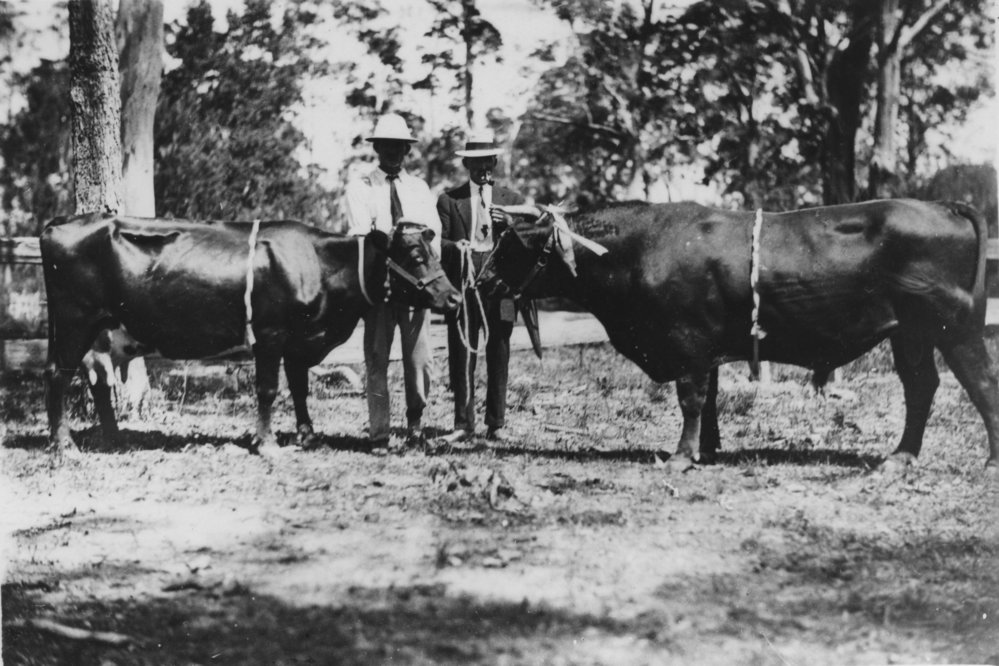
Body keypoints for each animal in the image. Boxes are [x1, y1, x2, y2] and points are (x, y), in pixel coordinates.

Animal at [40, 214, 461, 458]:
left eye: (435, 251)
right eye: (415, 255)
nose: (455, 297)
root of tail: (58, 225)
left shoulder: (299, 341)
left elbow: (299, 388)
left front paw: (308, 435)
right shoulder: (271, 334)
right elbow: (269, 390)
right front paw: (268, 443)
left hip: (101, 330)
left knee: (98, 378)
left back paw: (114, 438)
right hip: (75, 320)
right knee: (57, 375)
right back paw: (65, 447)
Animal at [481, 199, 999, 473]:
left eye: (509, 249)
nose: (482, 282)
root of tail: (943, 206)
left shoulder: (687, 342)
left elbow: (691, 398)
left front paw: (682, 456)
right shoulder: (704, 348)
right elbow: (709, 398)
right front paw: (708, 448)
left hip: (954, 330)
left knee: (982, 387)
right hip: (910, 334)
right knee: (921, 388)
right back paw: (901, 456)